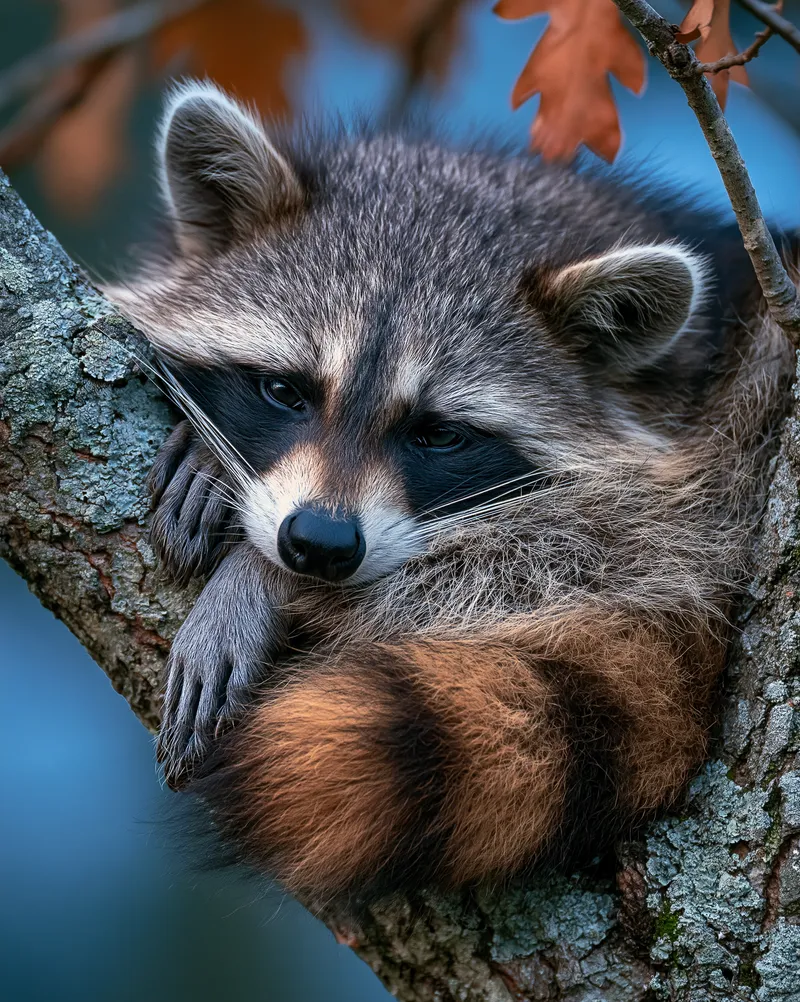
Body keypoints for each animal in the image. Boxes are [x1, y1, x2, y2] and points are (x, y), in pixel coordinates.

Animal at [109, 81, 794, 904]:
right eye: (284, 392)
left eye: (437, 435)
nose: (318, 546)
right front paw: (213, 463)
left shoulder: (725, 442)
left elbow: (590, 553)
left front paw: (261, 578)